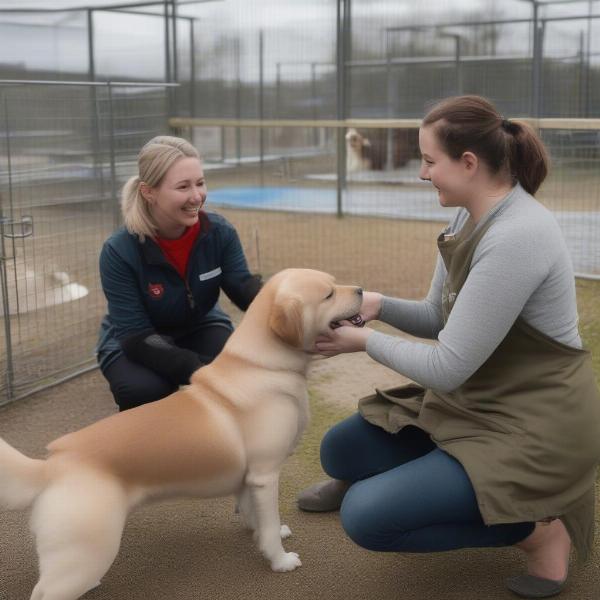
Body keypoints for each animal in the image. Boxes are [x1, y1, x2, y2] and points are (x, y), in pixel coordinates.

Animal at [0, 268, 360, 600]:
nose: (360, 289)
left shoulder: (250, 479)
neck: (262, 367)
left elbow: (255, 516)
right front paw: (280, 560)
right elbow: (268, 526)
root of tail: (51, 465)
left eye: (334, 284)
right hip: (82, 554)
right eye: (328, 294)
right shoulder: (265, 475)